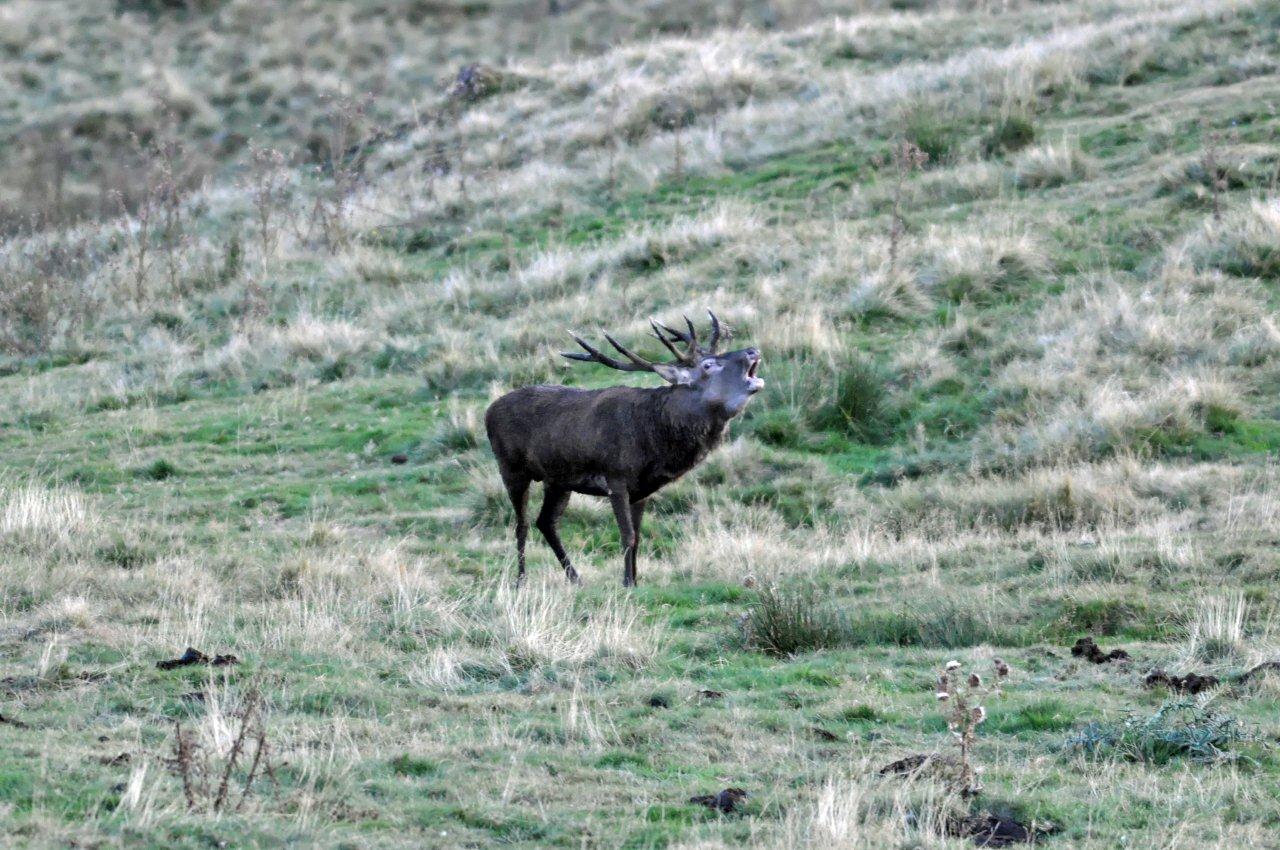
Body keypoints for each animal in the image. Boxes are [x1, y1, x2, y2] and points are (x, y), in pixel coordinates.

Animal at [485, 312, 763, 587]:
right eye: (708, 365)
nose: (752, 350)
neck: (654, 442)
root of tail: (488, 411)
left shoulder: (642, 489)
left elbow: (638, 537)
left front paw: (636, 582)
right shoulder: (615, 477)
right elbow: (627, 535)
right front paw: (627, 583)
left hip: (558, 480)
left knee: (546, 521)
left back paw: (575, 578)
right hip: (511, 468)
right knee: (522, 524)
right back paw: (521, 580)